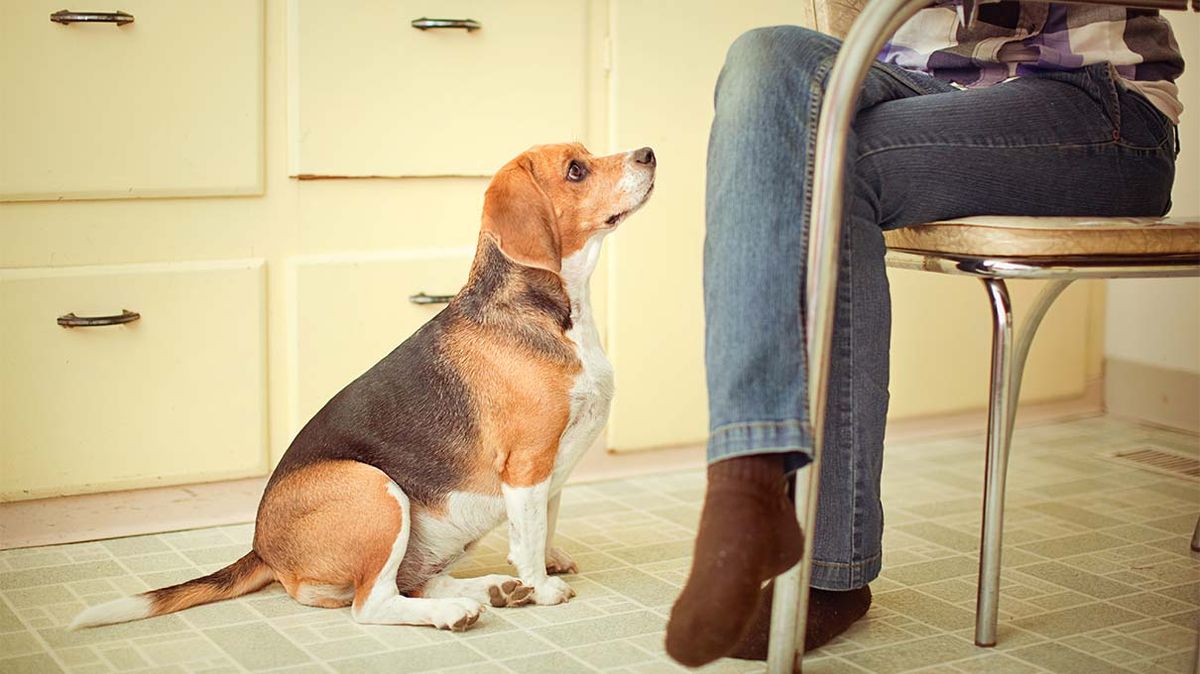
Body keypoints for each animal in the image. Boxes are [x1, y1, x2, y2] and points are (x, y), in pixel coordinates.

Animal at [75, 141, 657, 628]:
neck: (558, 314)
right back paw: (460, 609)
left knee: (410, 584)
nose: (648, 153)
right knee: (371, 604)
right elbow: (530, 533)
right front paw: (542, 586)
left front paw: (543, 569)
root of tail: (264, 548)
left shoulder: (551, 469)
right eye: (576, 170)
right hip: (375, 490)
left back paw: (492, 588)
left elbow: (546, 523)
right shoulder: (528, 461)